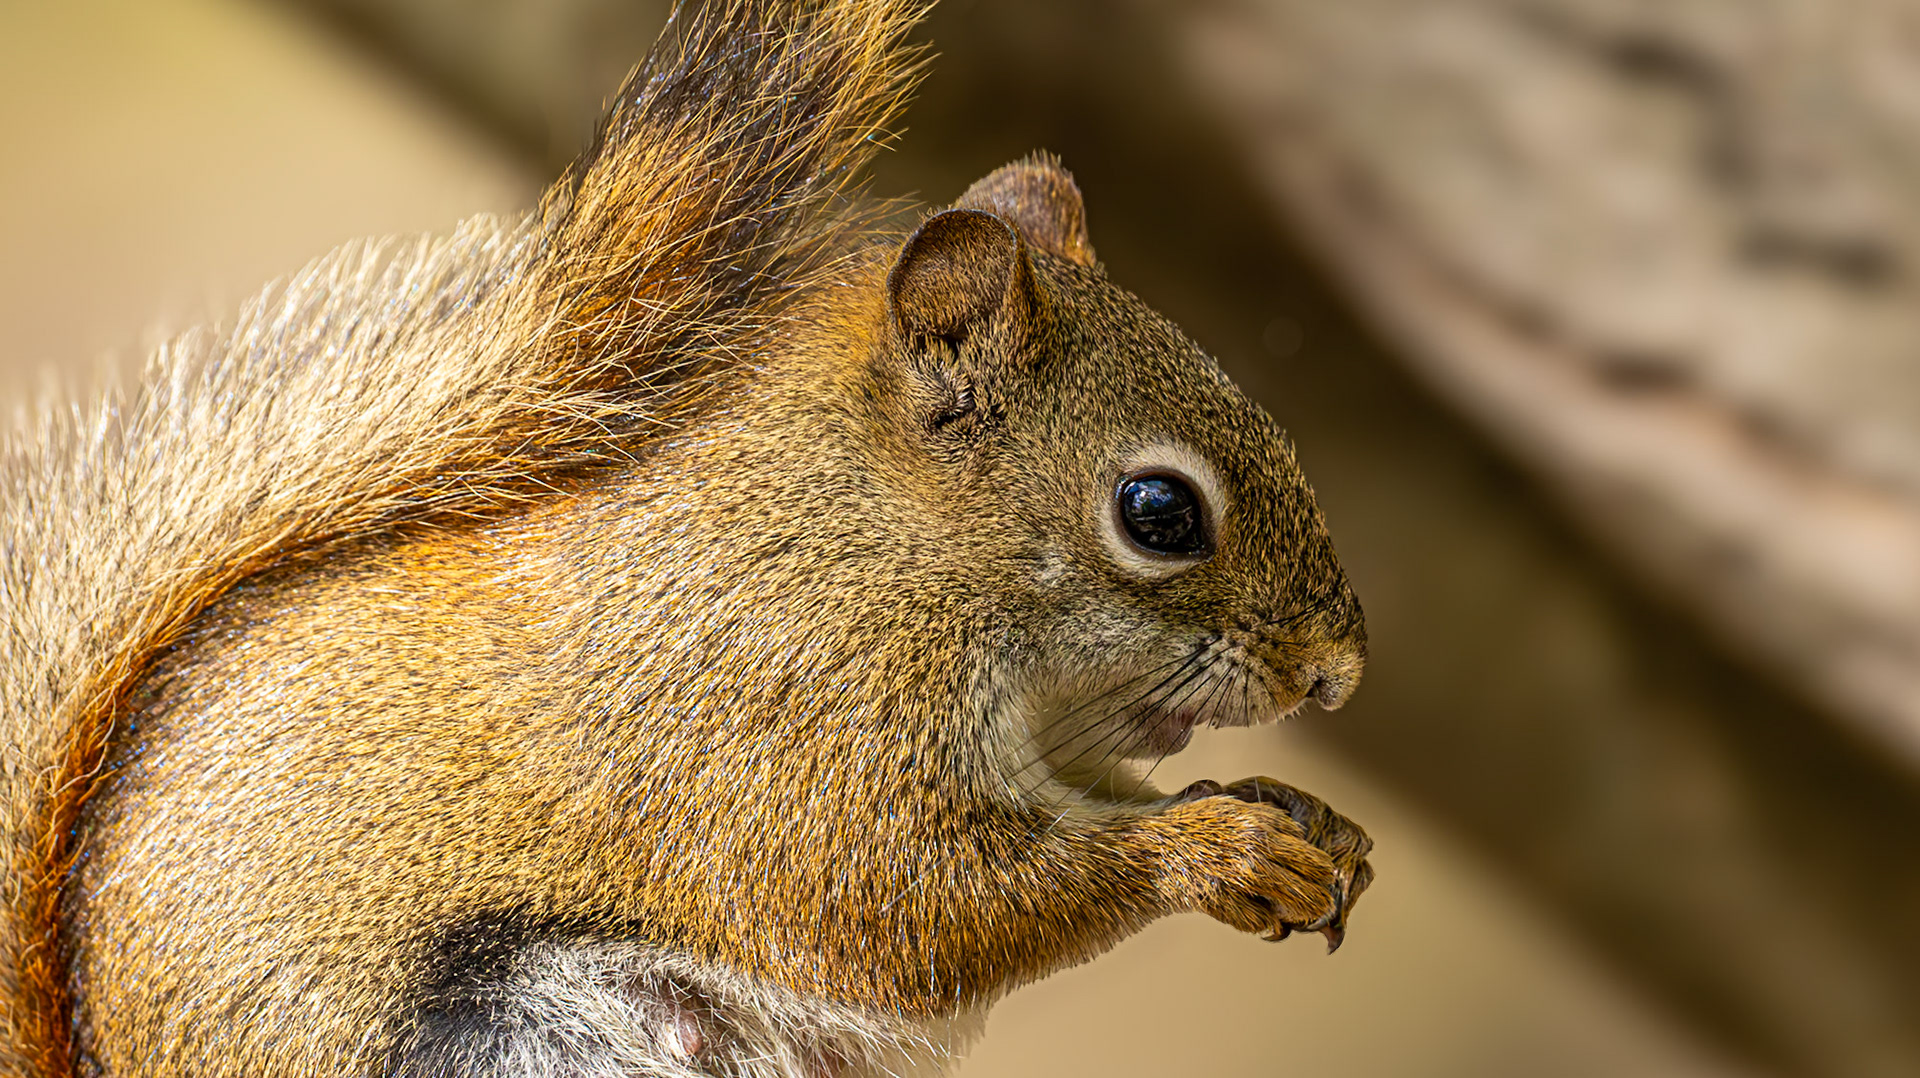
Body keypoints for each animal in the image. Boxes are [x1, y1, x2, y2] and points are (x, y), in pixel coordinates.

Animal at [0, 1, 1373, 1075]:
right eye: (1160, 513)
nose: (1336, 674)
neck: (878, 544)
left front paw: (1299, 817)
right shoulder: (778, 723)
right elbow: (914, 905)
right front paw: (1214, 847)